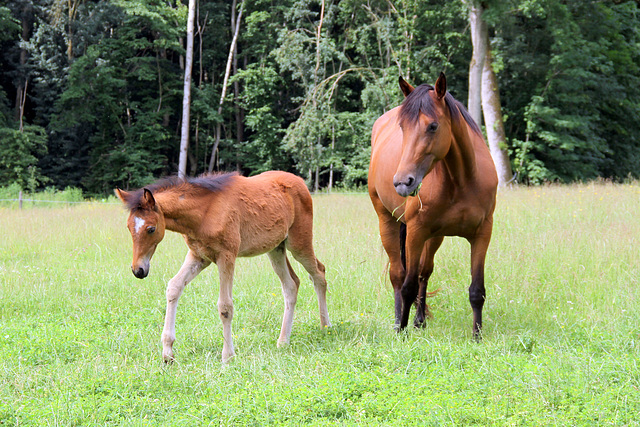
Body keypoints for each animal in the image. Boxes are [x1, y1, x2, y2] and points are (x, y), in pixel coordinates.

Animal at [114, 171, 330, 364]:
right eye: (128, 227)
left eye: (150, 229)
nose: (138, 270)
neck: (203, 213)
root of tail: (300, 182)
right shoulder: (198, 256)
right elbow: (174, 287)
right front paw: (167, 353)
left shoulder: (227, 256)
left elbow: (225, 306)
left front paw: (228, 356)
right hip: (276, 249)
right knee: (291, 285)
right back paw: (283, 341)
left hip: (298, 244)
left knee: (319, 273)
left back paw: (326, 326)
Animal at [368, 72, 498, 334]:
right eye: (402, 127)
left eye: (433, 126)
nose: (402, 182)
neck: (462, 180)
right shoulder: (416, 232)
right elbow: (407, 287)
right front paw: (402, 333)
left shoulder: (482, 234)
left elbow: (477, 291)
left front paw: (477, 336)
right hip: (387, 222)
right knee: (398, 275)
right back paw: (398, 323)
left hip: (434, 236)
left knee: (424, 273)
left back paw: (419, 321)